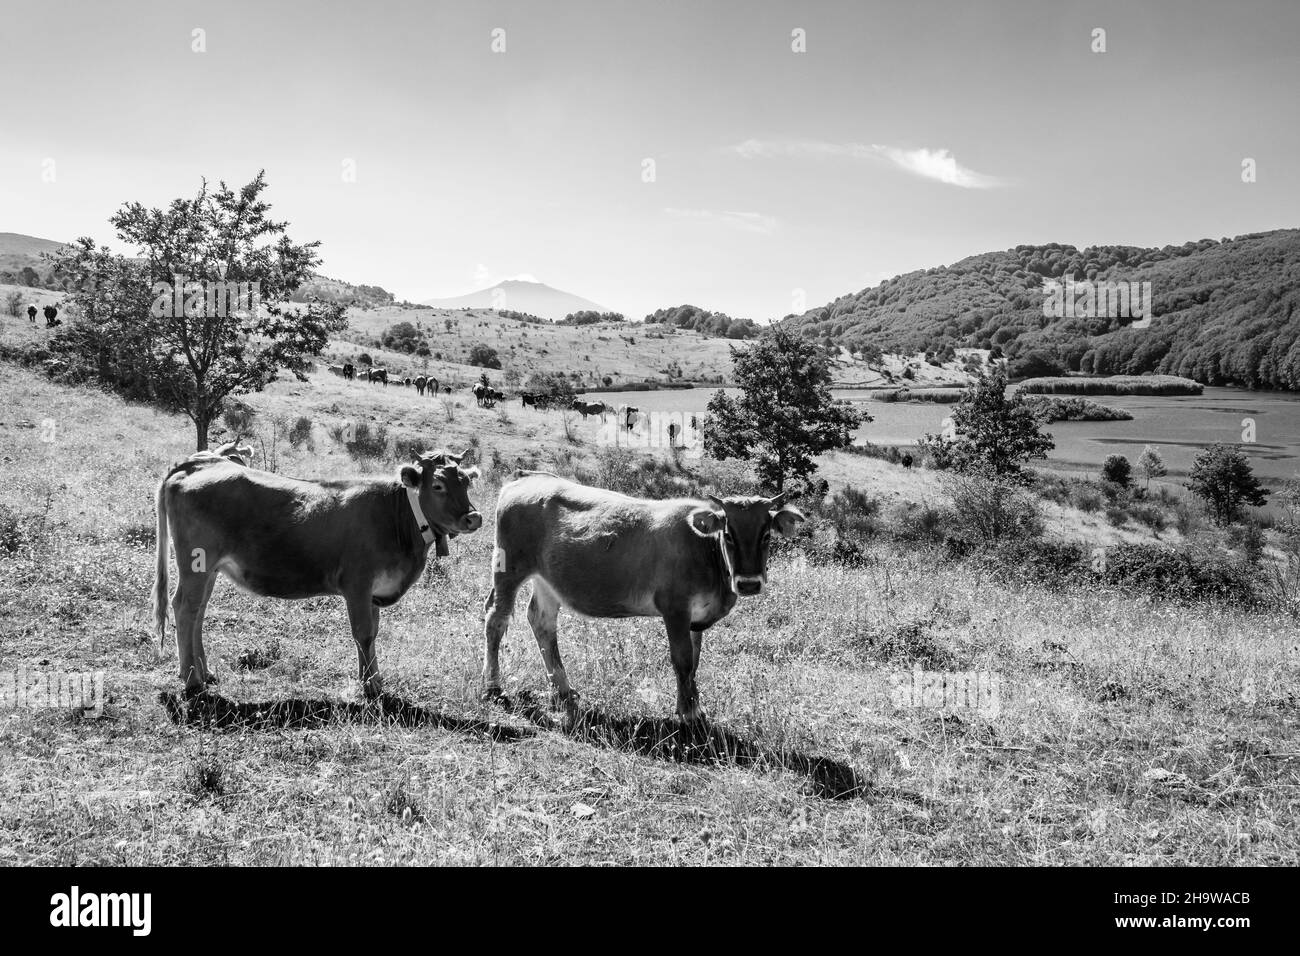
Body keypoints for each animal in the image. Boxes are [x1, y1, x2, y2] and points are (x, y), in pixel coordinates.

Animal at [148, 444, 483, 697]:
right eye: (438, 485)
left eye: (466, 482)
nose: (474, 518)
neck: (396, 517)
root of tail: (197, 463)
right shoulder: (357, 584)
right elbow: (363, 633)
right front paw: (371, 686)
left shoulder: (374, 591)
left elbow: (373, 633)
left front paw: (371, 677)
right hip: (196, 564)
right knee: (185, 608)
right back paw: (192, 679)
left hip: (210, 569)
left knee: (198, 612)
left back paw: (204, 672)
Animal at [480, 476, 800, 723]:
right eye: (729, 534)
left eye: (766, 535)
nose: (749, 583)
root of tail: (526, 480)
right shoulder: (674, 608)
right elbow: (682, 660)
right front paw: (689, 714)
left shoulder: (695, 617)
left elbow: (695, 661)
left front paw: (692, 706)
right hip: (509, 567)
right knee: (496, 619)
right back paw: (493, 686)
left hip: (547, 581)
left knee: (542, 623)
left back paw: (563, 690)